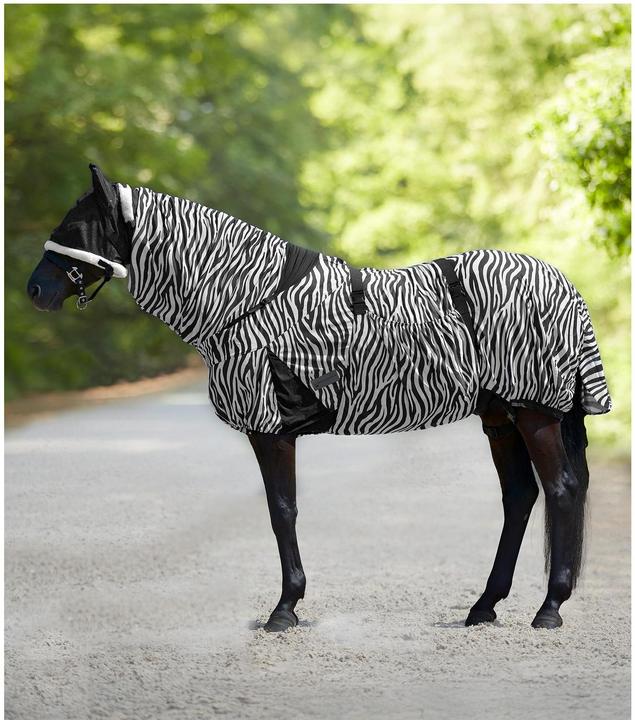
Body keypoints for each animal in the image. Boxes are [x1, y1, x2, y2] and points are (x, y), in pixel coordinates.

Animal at [27, 164, 612, 632]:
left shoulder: (269, 428)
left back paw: (549, 609)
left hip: (534, 414)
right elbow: (281, 510)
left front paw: (284, 610)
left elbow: (281, 510)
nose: (35, 290)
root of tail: (563, 284)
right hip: (501, 417)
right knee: (521, 497)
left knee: (561, 491)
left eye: (74, 228)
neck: (246, 300)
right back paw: (483, 606)